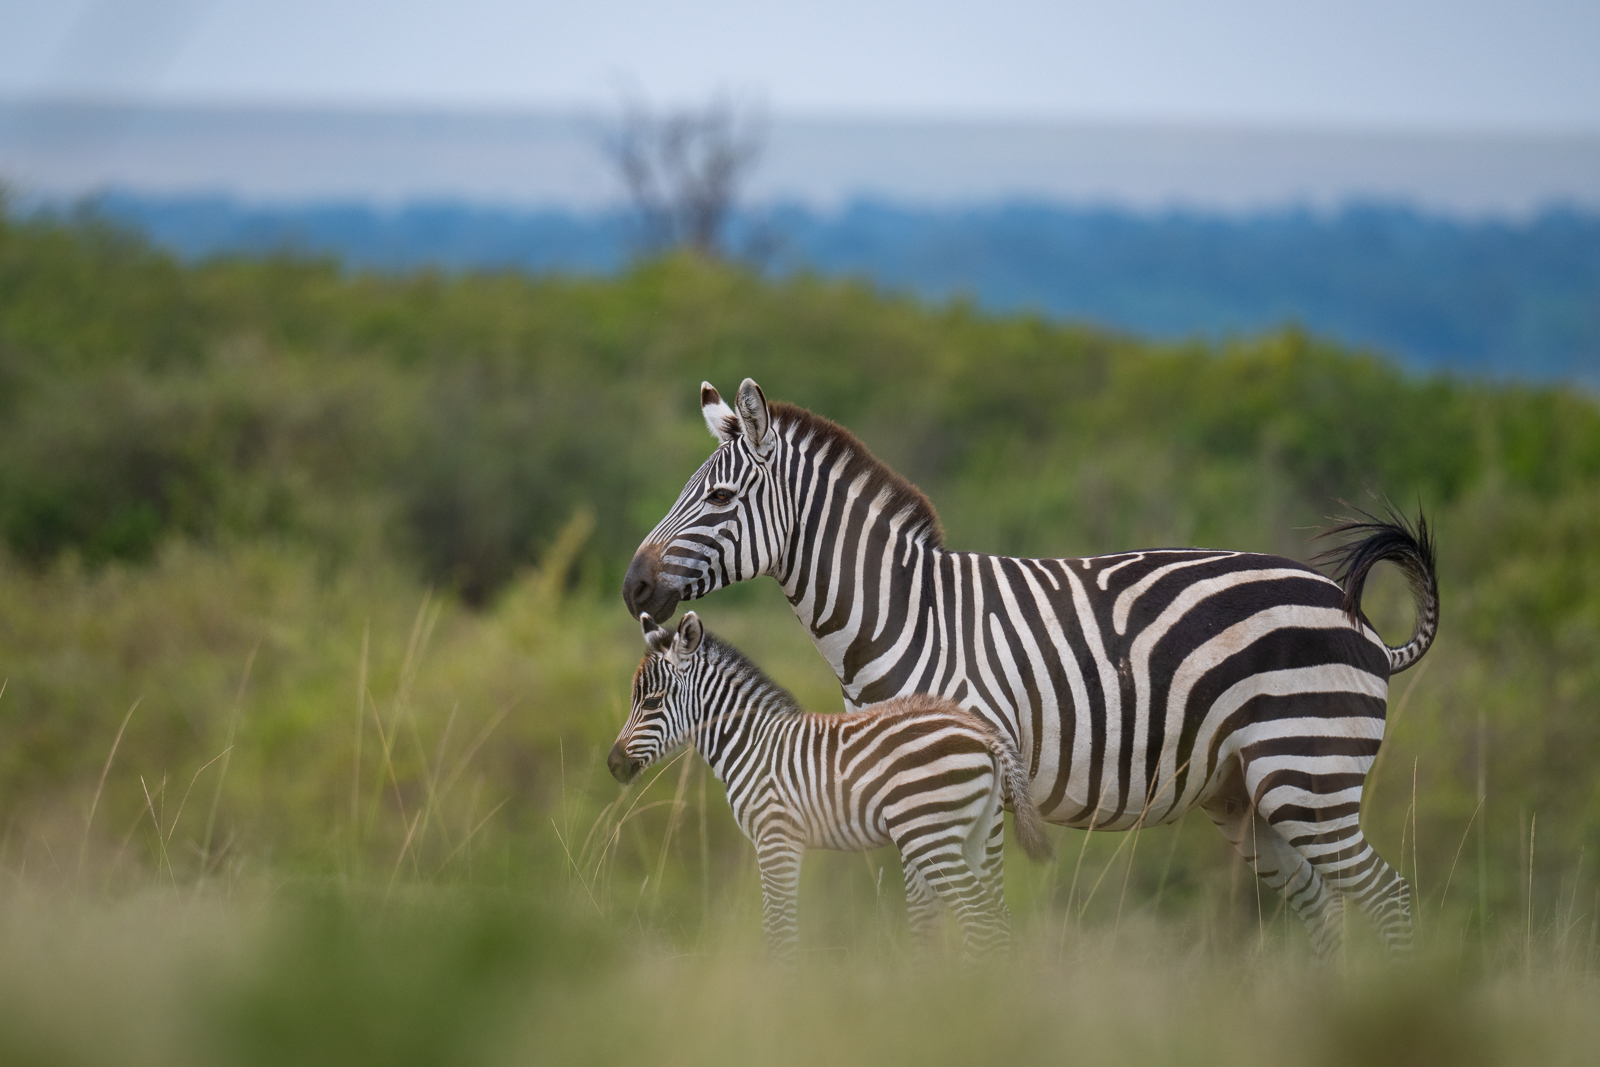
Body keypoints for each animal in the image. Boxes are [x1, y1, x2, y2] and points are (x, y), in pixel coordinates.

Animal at [609, 610, 1054, 961]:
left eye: (652, 702)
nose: (614, 765)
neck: (752, 743)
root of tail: (982, 732)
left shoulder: (775, 836)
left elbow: (779, 931)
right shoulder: (780, 841)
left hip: (929, 835)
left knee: (980, 919)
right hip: (975, 834)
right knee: (996, 921)